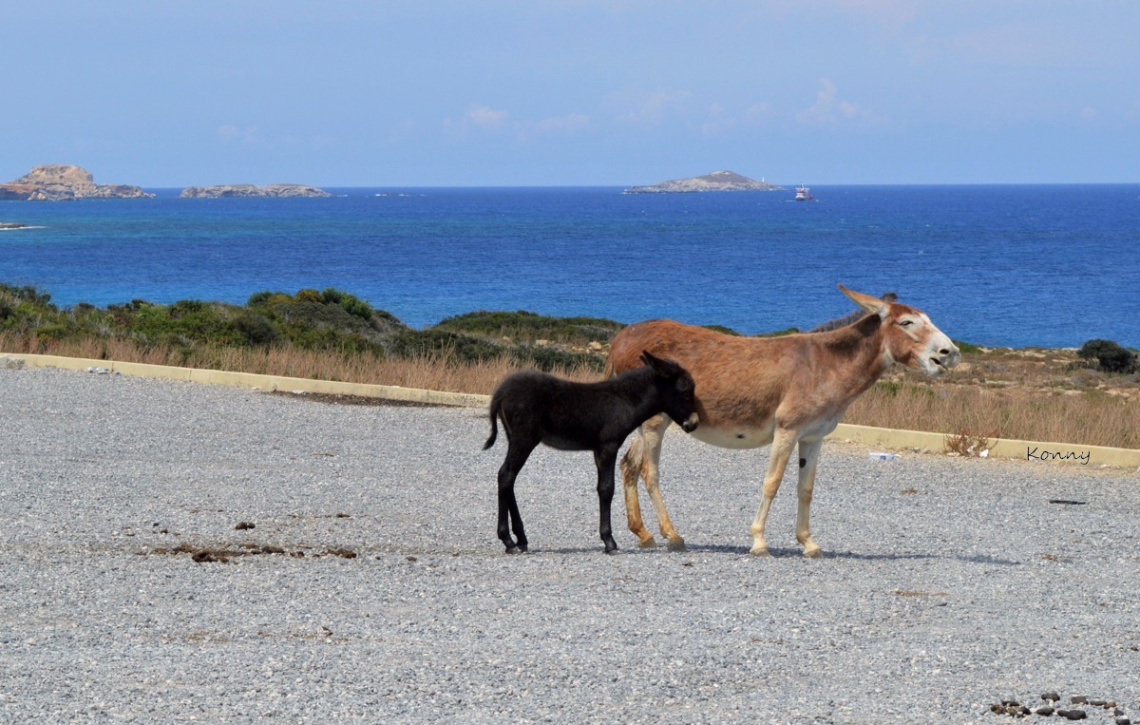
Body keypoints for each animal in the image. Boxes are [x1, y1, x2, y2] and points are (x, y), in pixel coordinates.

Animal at [481, 351, 693, 554]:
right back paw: (508, 541)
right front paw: (609, 542)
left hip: (515, 438)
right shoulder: (608, 446)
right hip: (524, 439)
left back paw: (521, 539)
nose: (693, 424)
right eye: (685, 391)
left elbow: (601, 488)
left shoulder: (598, 450)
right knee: (506, 475)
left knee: (508, 479)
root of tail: (501, 391)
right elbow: (607, 489)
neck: (625, 399)